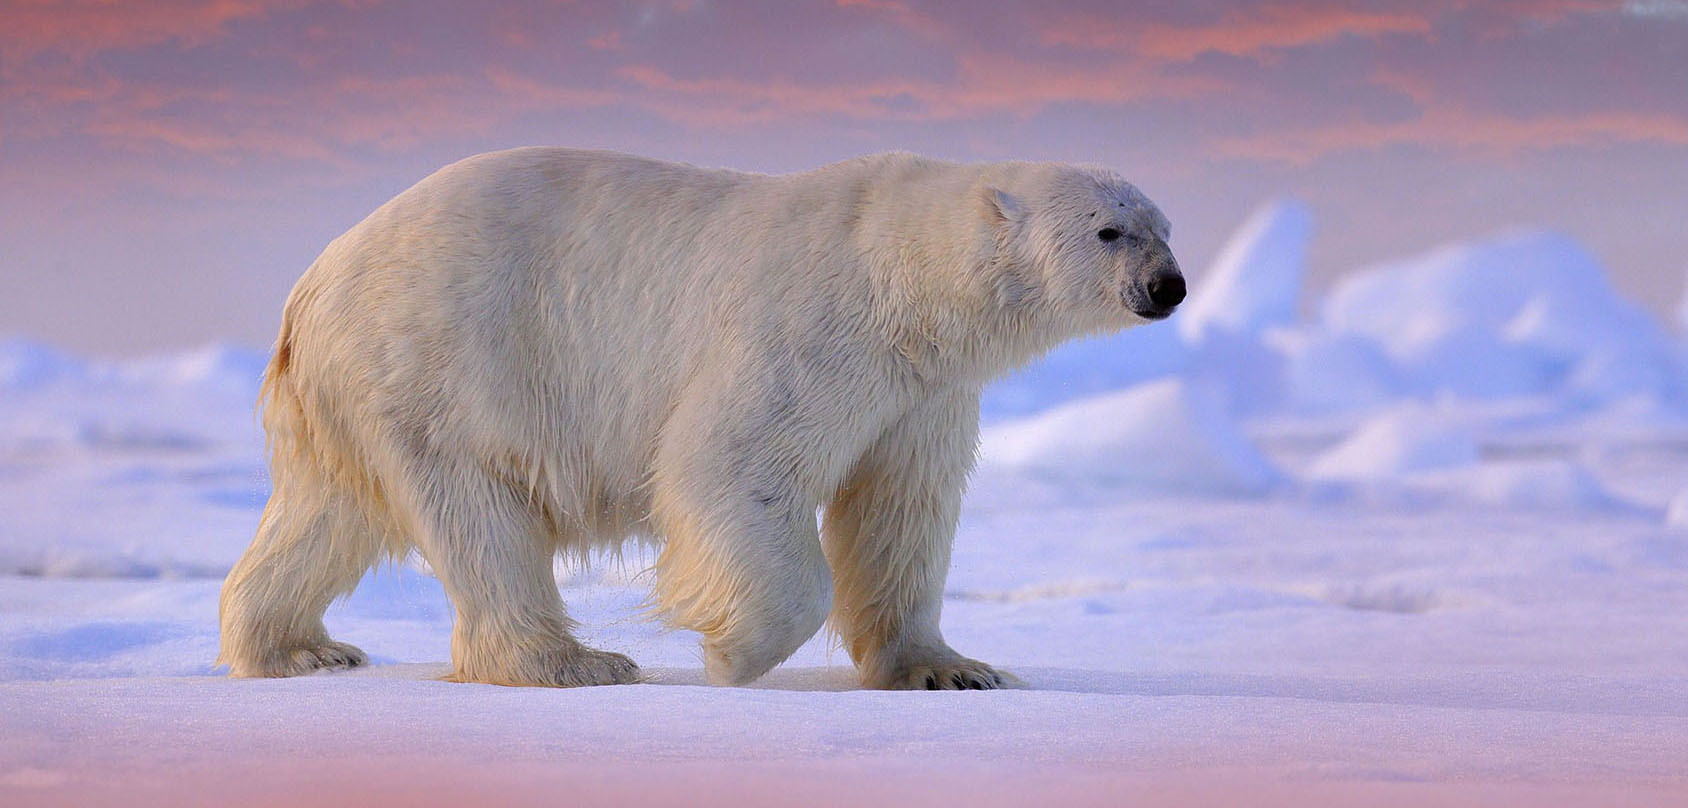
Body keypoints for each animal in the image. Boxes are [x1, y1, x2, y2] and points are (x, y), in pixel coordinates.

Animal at [217, 147, 1184, 690]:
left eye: (1163, 225)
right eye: (1108, 230)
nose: (1167, 287)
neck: (898, 274)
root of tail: (313, 284)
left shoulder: (921, 393)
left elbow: (900, 513)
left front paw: (952, 669)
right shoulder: (812, 329)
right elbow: (729, 461)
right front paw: (732, 655)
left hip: (355, 397)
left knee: (326, 514)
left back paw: (297, 649)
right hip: (445, 363)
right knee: (481, 519)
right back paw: (574, 664)